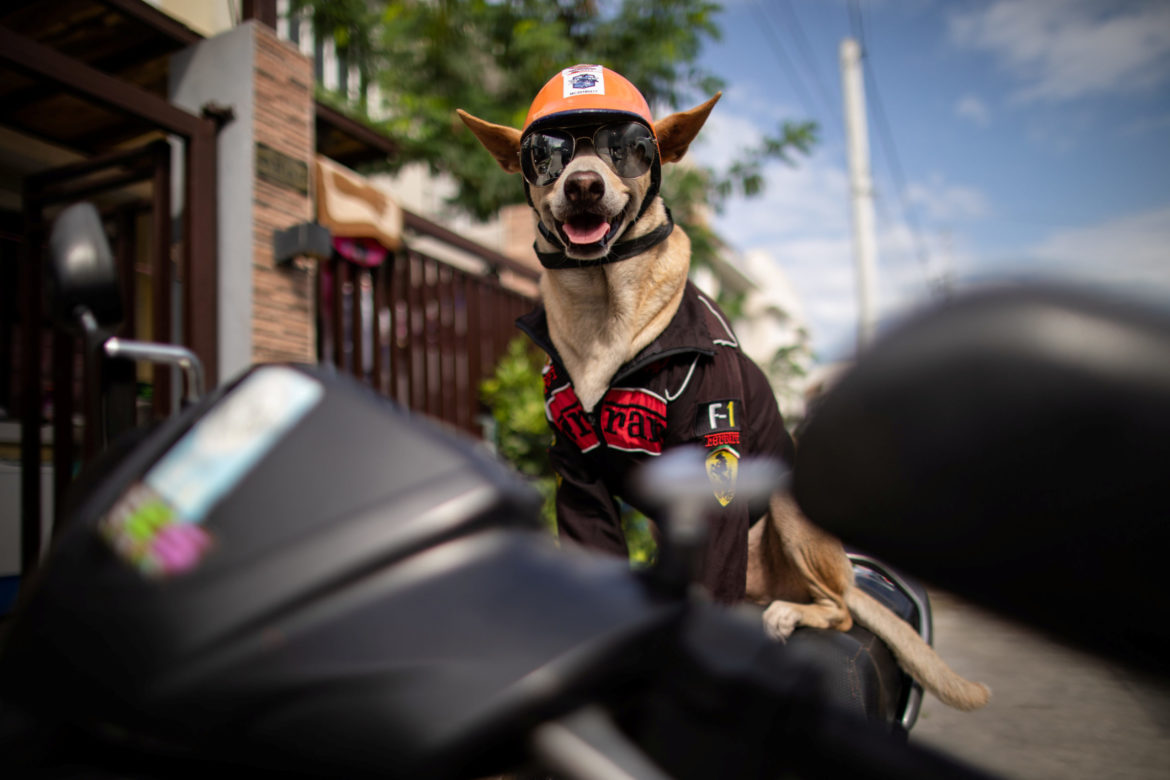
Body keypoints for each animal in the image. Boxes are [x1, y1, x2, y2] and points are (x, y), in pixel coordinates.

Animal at [456, 67, 987, 715]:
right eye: (545, 156)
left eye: (625, 147)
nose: (583, 186)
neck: (604, 308)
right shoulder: (578, 476)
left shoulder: (713, 461)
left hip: (789, 511)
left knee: (837, 611)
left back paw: (790, 613)